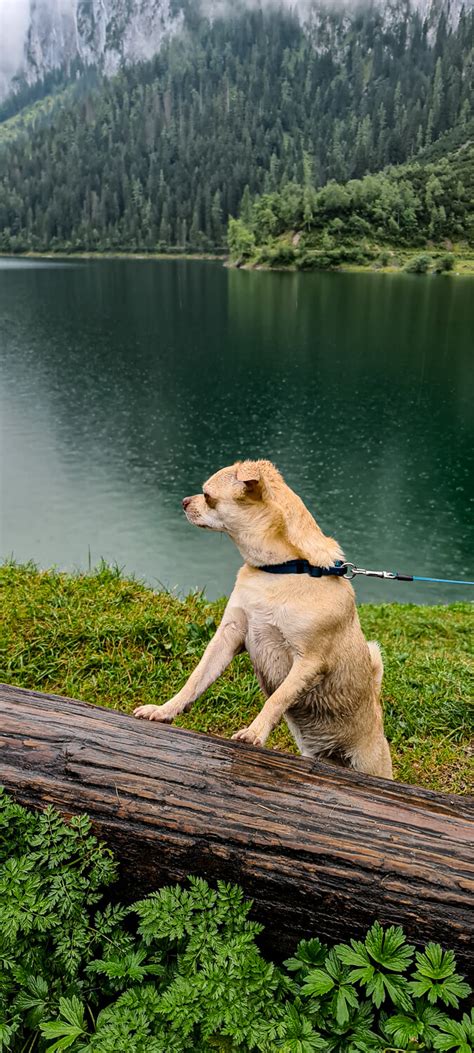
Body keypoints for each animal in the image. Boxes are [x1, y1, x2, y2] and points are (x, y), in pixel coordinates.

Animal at [133, 463, 391, 783]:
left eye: (207, 496)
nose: (184, 501)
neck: (284, 568)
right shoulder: (229, 636)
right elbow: (196, 679)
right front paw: (165, 710)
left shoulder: (309, 661)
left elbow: (277, 698)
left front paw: (254, 733)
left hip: (370, 765)